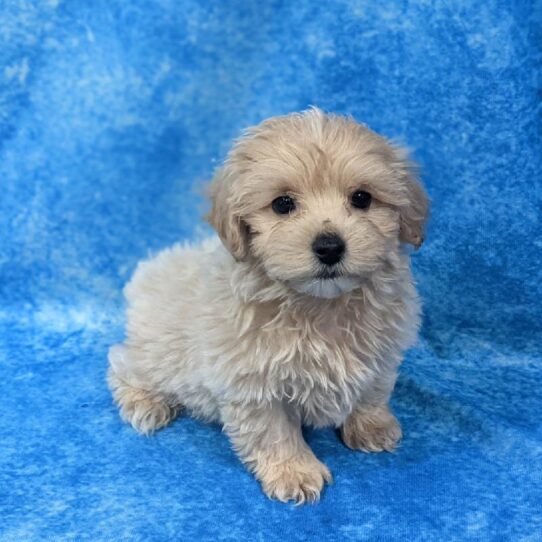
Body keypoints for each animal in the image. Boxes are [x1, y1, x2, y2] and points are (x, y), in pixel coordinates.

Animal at [107, 109, 430, 506]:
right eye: (282, 204)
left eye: (361, 198)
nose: (329, 247)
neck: (320, 305)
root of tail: (150, 271)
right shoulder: (251, 380)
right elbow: (273, 429)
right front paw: (293, 471)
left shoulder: (383, 352)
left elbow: (374, 391)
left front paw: (372, 426)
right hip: (156, 352)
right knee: (120, 361)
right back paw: (145, 402)